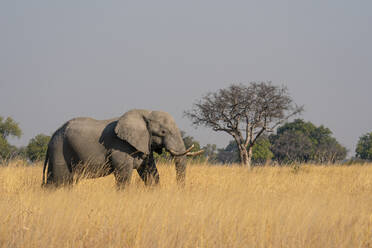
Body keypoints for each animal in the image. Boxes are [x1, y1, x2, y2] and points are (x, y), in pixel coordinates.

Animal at [42, 109, 202, 188]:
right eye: (163, 132)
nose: (180, 190)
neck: (145, 113)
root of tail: (52, 136)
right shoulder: (119, 146)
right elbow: (124, 175)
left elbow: (150, 172)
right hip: (59, 149)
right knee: (60, 180)